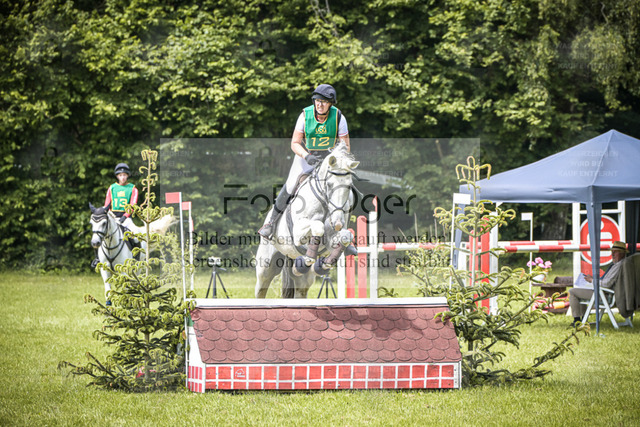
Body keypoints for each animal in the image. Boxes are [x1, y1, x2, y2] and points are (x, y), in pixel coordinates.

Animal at [255, 142, 359, 298]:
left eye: (349, 186)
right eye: (329, 184)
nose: (337, 223)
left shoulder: (332, 239)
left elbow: (346, 236)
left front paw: (324, 264)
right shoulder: (298, 233)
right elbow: (318, 225)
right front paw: (310, 258)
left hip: (302, 279)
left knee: (300, 285)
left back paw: (303, 267)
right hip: (266, 266)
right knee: (261, 287)